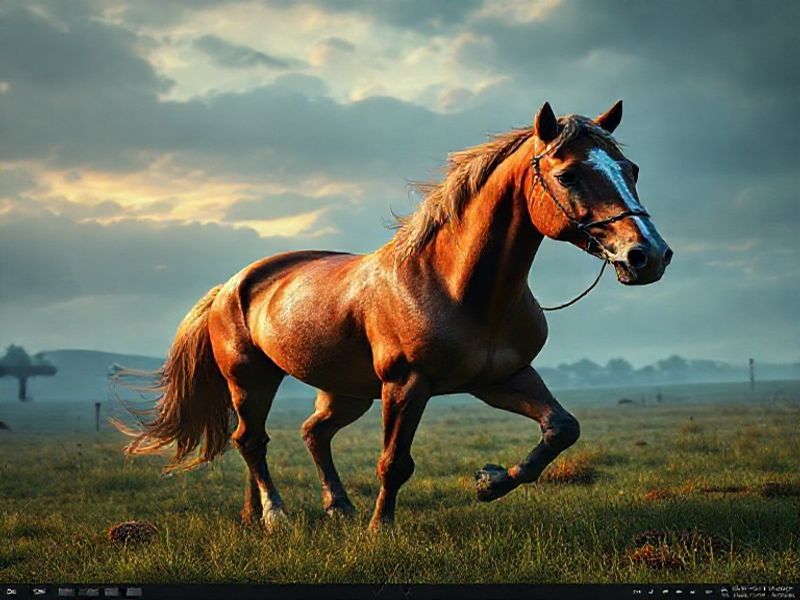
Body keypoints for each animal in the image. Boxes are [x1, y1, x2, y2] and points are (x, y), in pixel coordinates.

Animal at [117, 100, 672, 531]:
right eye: (568, 175)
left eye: (632, 170)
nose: (647, 256)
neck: (458, 288)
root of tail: (229, 287)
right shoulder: (407, 385)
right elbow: (394, 463)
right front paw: (380, 528)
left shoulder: (501, 378)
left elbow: (561, 429)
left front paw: (489, 481)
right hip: (252, 381)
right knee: (252, 441)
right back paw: (275, 515)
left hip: (345, 392)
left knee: (309, 434)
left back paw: (312, 509)